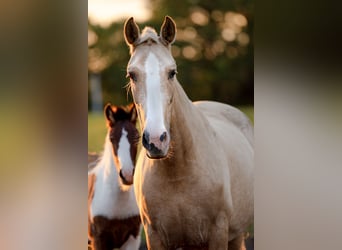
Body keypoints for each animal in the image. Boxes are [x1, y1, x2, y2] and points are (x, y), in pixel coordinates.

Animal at [124, 16, 252, 249]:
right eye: (132, 74)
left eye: (172, 72)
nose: (156, 140)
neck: (179, 172)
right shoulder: (154, 236)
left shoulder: (219, 233)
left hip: (236, 235)